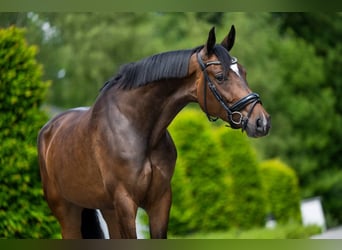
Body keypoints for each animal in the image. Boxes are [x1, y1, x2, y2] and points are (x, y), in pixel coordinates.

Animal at [37, 25, 272, 238]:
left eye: (243, 72)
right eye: (221, 76)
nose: (261, 121)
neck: (139, 129)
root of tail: (49, 130)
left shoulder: (160, 200)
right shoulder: (125, 202)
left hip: (106, 208)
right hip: (67, 211)